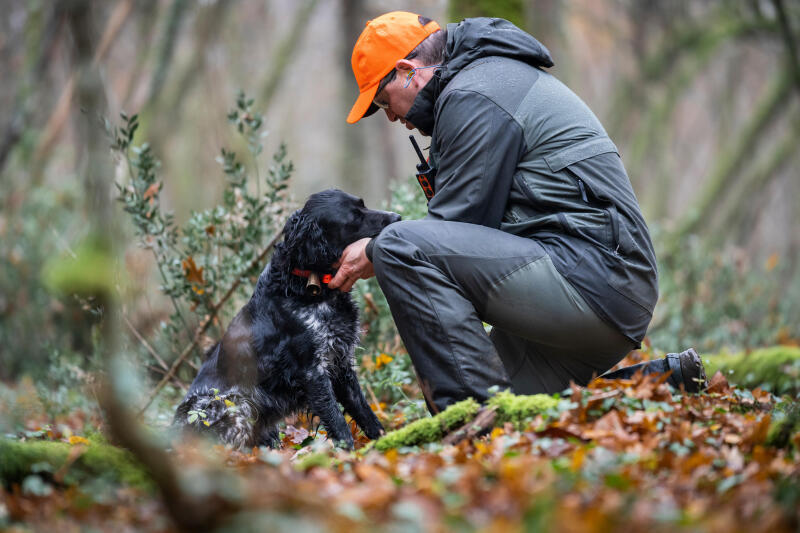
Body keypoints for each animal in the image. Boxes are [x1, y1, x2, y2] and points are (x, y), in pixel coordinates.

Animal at [174, 189, 400, 446]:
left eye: (363, 205)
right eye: (354, 217)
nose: (398, 218)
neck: (309, 288)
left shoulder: (340, 362)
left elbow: (365, 412)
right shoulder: (312, 371)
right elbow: (337, 421)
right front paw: (349, 453)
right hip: (233, 404)